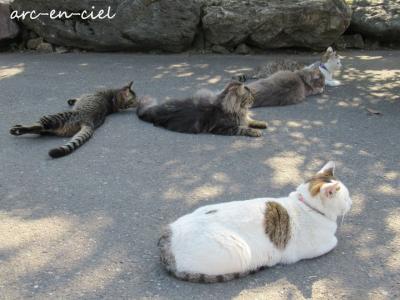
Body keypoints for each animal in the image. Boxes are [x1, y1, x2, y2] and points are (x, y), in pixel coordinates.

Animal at [9, 81, 138, 158]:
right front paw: (73, 100)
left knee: (39, 126)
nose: (127, 106)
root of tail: (88, 120)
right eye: (129, 104)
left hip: (55, 117)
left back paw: (18, 129)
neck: (113, 100)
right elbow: (78, 97)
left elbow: (79, 97)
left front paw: (73, 99)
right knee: (42, 129)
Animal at [136, 81, 268, 137]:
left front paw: (262, 123)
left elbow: (250, 120)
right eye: (249, 95)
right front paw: (255, 131)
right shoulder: (222, 128)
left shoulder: (244, 118)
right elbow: (243, 128)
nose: (254, 98)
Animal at [158, 161, 352, 282]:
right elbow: (334, 241)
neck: (306, 204)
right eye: (346, 197)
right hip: (241, 252)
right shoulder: (316, 247)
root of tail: (167, 241)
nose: (352, 202)